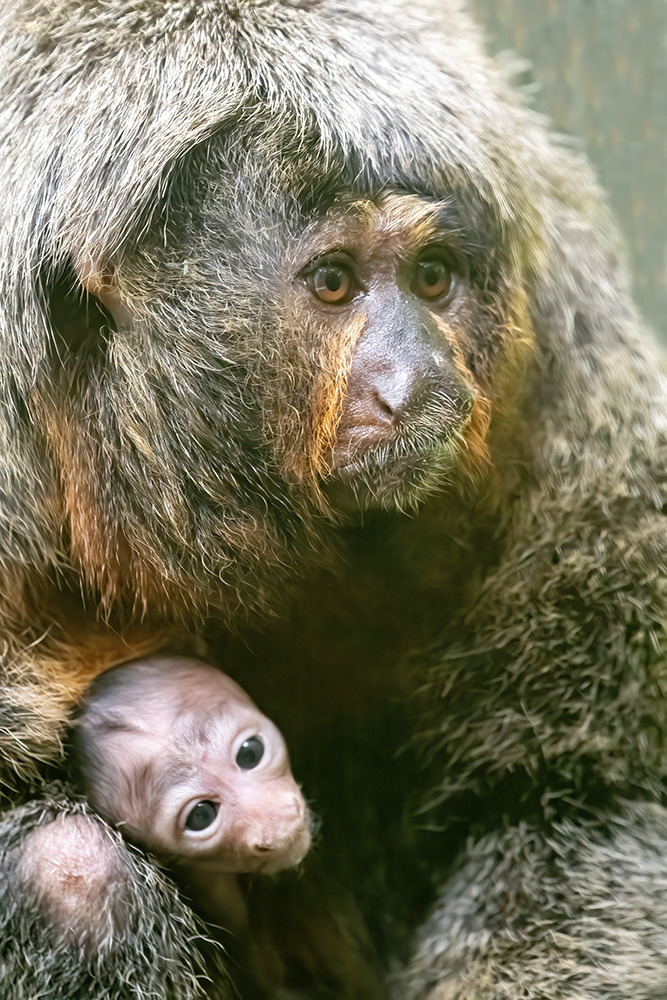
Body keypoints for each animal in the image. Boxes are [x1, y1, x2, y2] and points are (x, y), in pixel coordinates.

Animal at [0, 0, 666, 998]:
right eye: (333, 283)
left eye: (432, 278)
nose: (420, 381)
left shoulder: (556, 352)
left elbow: (580, 796)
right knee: (71, 871)